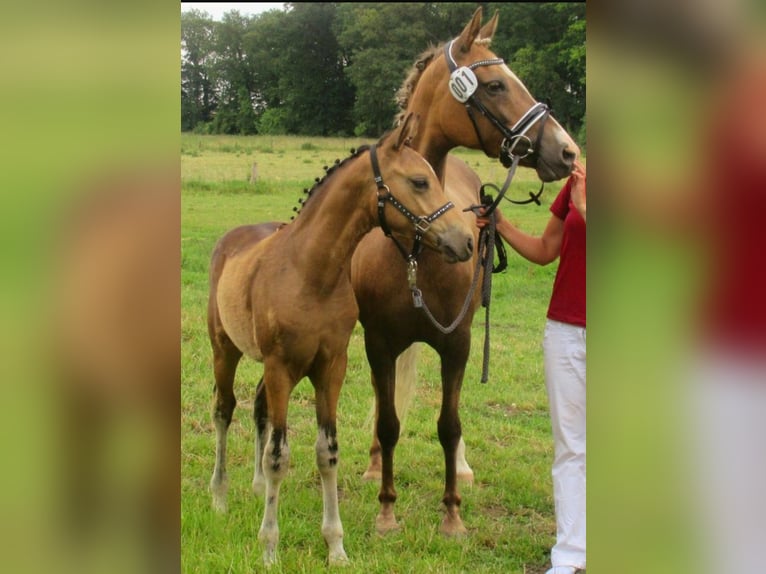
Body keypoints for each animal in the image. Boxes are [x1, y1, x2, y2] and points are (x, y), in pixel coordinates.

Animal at [207, 113, 476, 568]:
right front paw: (269, 548)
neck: (311, 272)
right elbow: (279, 455)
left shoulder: (331, 366)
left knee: (258, 407)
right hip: (225, 349)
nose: (466, 240)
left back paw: (258, 488)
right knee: (225, 410)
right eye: (420, 181)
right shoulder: (282, 367)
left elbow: (326, 451)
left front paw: (335, 545)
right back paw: (221, 497)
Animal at [352, 5, 580, 540]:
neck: (415, 247)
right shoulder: (378, 341)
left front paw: (452, 514)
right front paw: (385, 509)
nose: (566, 151)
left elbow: (448, 424)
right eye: (495, 85)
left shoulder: (457, 343)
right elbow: (388, 420)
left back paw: (462, 466)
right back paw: (373, 462)